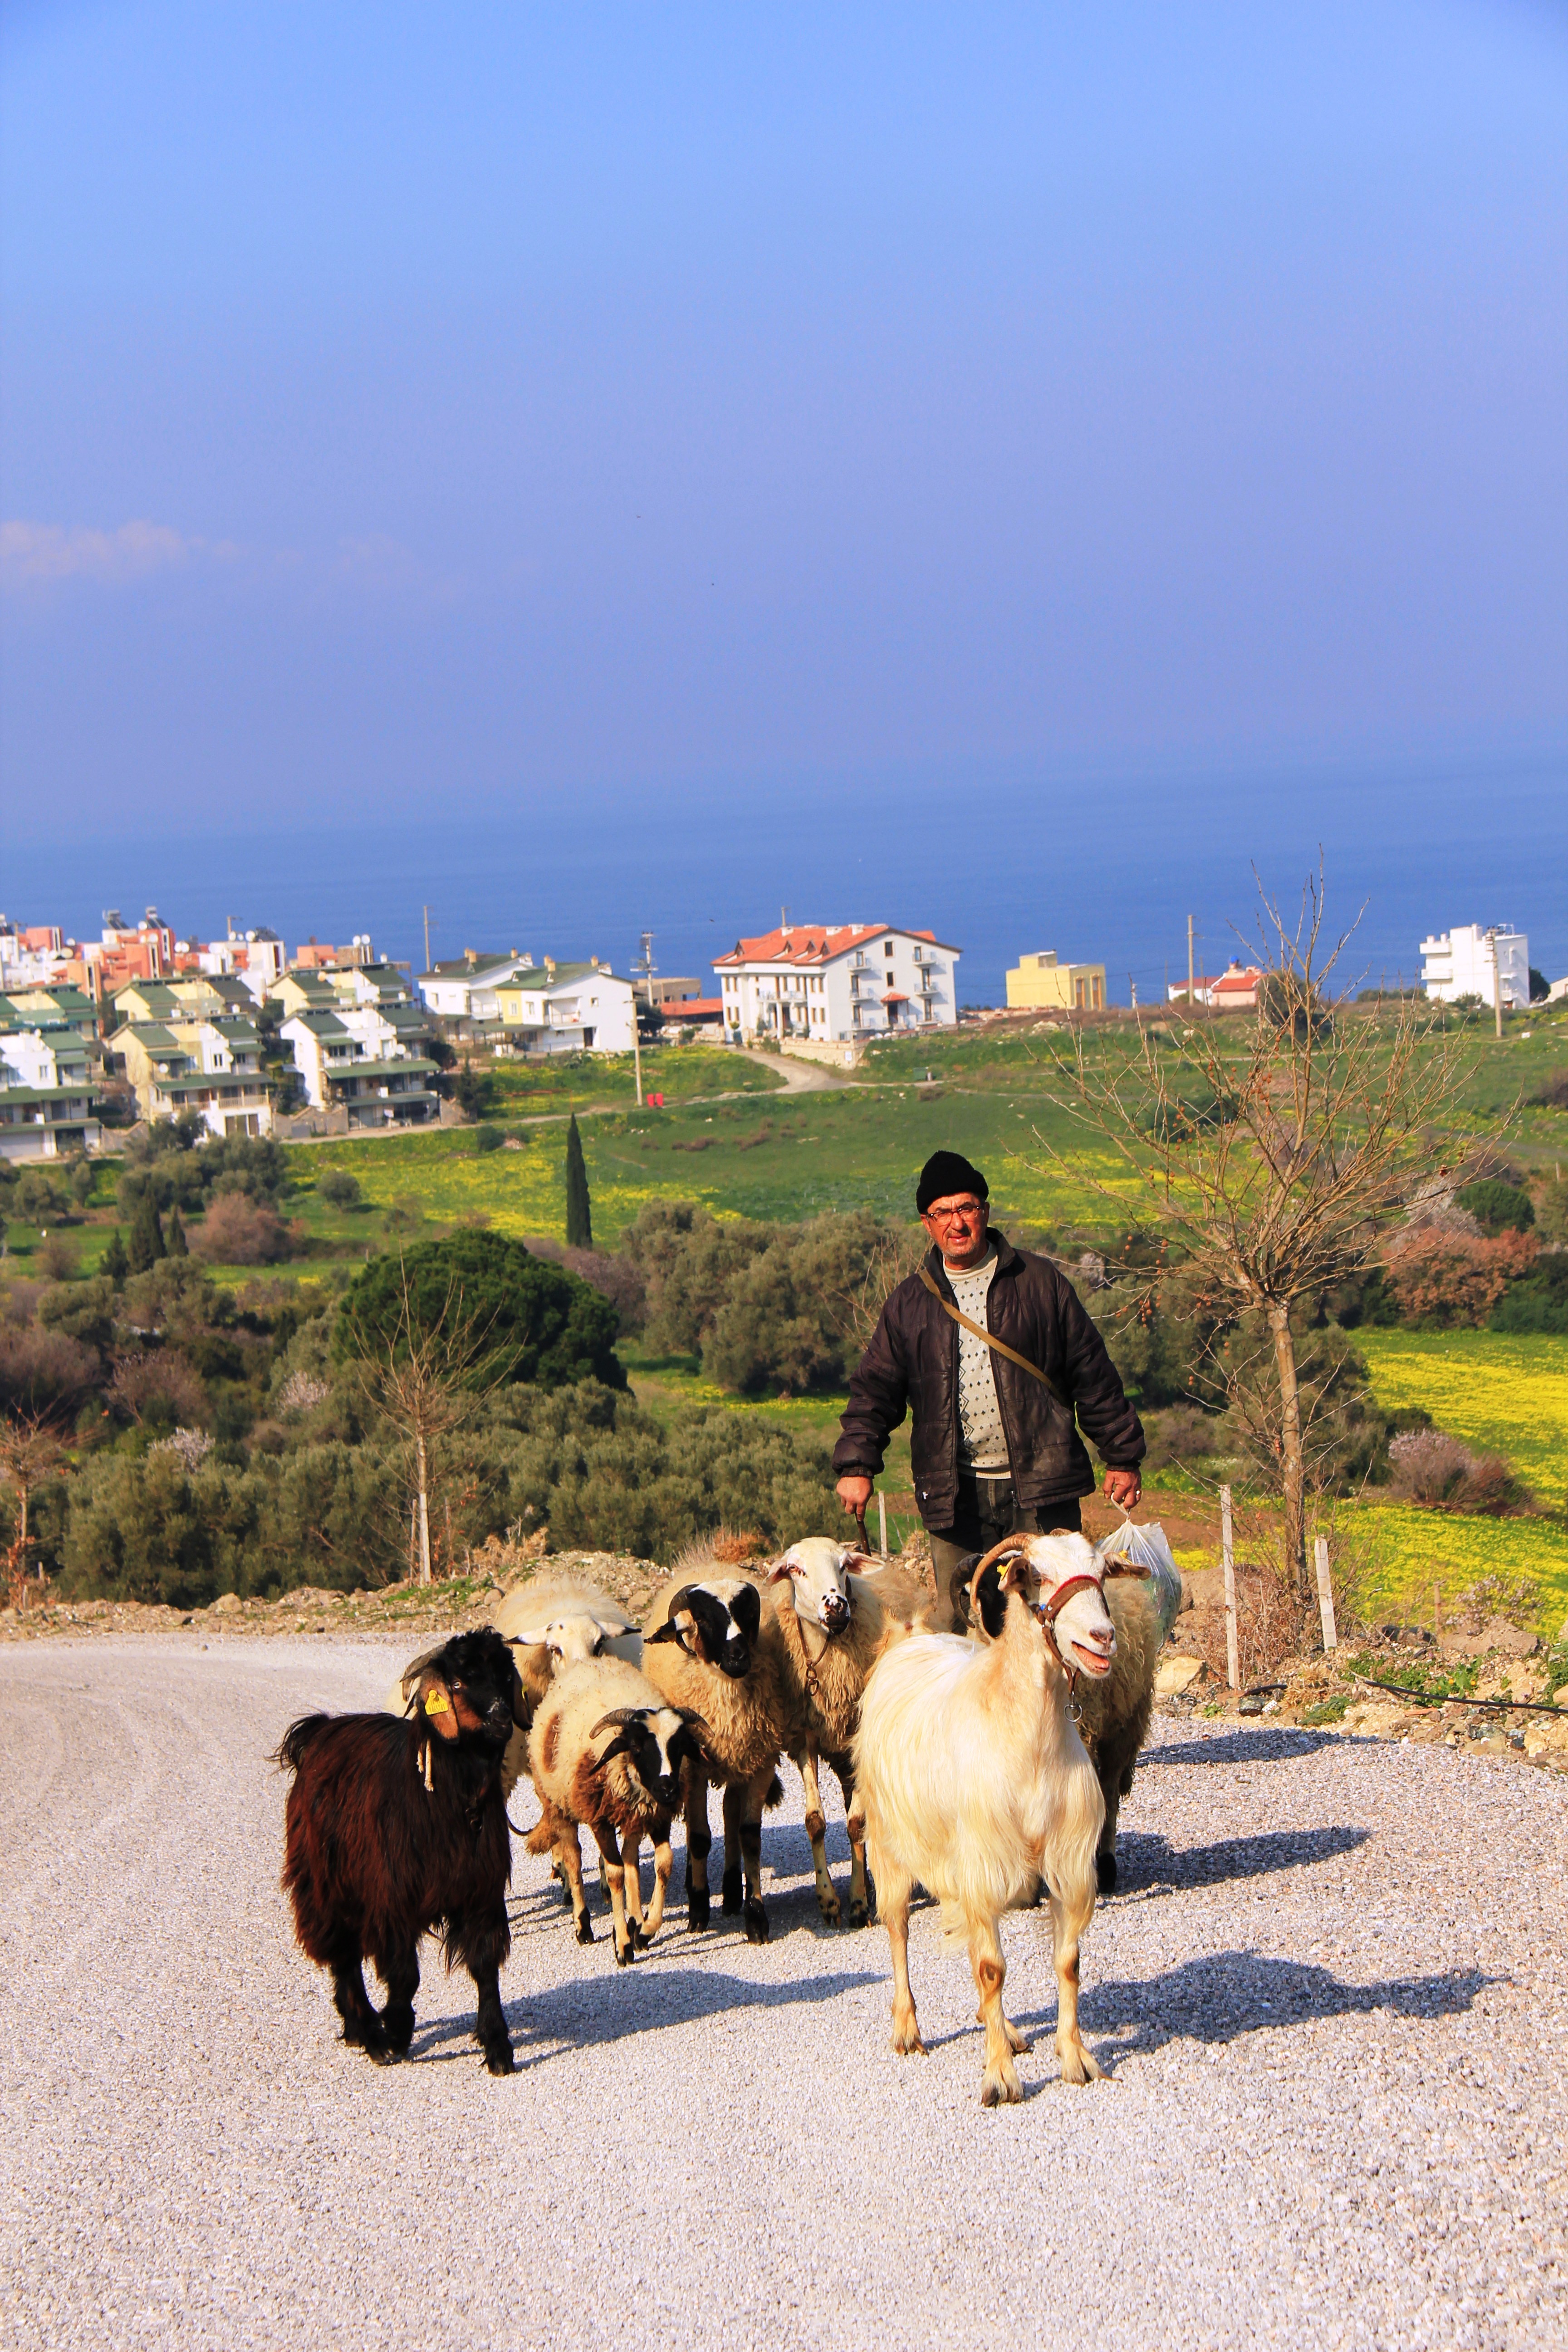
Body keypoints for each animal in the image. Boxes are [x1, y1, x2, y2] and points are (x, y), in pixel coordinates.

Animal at [277, 1627, 526, 2069]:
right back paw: (368, 2033)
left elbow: (485, 1967)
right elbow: (405, 1973)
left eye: (503, 1676)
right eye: (457, 1684)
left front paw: (498, 2046)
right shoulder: (392, 1896)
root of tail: (319, 1731)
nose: (500, 1718)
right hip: (324, 1881)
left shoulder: (481, 1892)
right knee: (344, 1956)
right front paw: (395, 2030)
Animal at [524, 1656, 710, 1966]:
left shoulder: (658, 1815)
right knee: (574, 1859)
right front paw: (623, 1945)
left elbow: (664, 1863)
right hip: (560, 1804)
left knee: (630, 1857)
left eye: (680, 1746)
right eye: (635, 1746)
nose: (669, 1789)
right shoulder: (601, 1820)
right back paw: (584, 1926)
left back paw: (635, 1919)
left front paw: (645, 1931)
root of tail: (590, 1661)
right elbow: (614, 1874)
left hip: (632, 1816)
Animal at [639, 1562, 789, 1947]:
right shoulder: (692, 1768)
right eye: (705, 1620)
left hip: (740, 1761)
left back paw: (732, 1892)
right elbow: (699, 1838)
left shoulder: (761, 1761)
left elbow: (750, 1836)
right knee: (701, 1827)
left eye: (746, 1614)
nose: (739, 1656)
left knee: (730, 1813)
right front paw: (698, 1911)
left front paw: (756, 1916)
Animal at [851, 1533, 1123, 2107]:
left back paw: (1006, 2028)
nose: (1103, 1637)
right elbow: (992, 1969)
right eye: (1035, 1575)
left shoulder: (1068, 1863)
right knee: (898, 1928)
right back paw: (907, 2028)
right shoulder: (982, 1863)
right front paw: (1000, 2077)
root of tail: (910, 1638)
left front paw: (1076, 2059)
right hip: (890, 1840)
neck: (1029, 1742)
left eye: (1101, 1574)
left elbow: (1068, 1963)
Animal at [950, 1524, 1185, 1891]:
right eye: (1035, 1576)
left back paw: (1105, 1865)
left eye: (1100, 1574)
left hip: (1123, 1728)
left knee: (1109, 1793)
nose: (1103, 1636)